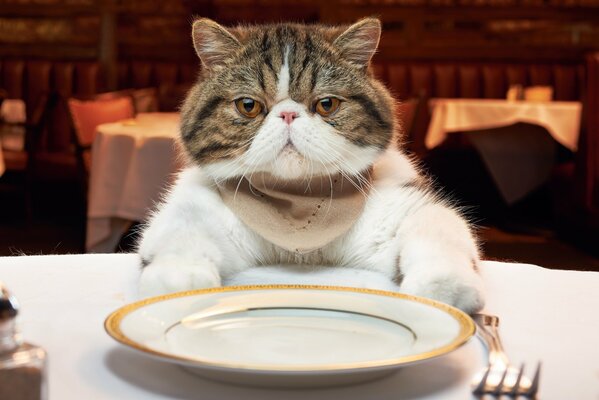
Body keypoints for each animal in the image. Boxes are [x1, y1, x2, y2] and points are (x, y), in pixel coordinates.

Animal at [138, 18, 486, 312]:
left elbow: (437, 226)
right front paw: (177, 278)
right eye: (248, 105)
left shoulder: (406, 203)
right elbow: (180, 230)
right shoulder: (196, 205)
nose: (288, 114)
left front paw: (444, 285)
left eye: (326, 104)